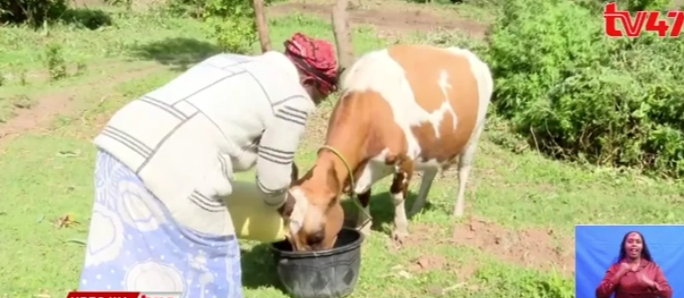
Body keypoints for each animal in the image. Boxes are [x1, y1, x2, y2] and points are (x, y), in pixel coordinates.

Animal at [284, 43, 492, 251]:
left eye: (317, 236)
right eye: (290, 238)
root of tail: (467, 54)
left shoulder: (406, 159)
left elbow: (397, 195)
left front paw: (400, 231)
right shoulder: (361, 166)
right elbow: (364, 196)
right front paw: (364, 227)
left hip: (474, 135)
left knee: (463, 173)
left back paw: (457, 212)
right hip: (435, 144)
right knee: (430, 174)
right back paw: (416, 208)